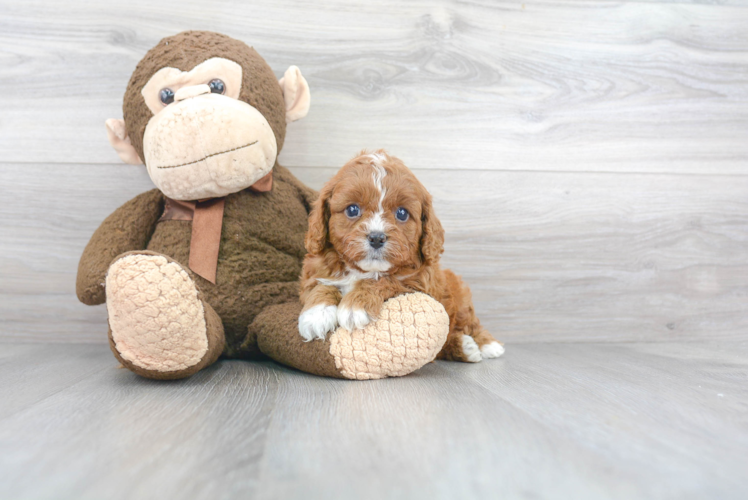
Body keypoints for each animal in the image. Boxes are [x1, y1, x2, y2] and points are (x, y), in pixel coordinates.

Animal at [298, 150, 502, 362]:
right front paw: (316, 314)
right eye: (352, 210)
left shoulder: (418, 285)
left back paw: (486, 345)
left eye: (402, 213)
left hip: (460, 297)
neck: (365, 271)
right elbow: (320, 285)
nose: (377, 237)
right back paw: (465, 346)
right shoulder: (314, 270)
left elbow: (386, 281)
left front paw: (356, 304)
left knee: (470, 323)